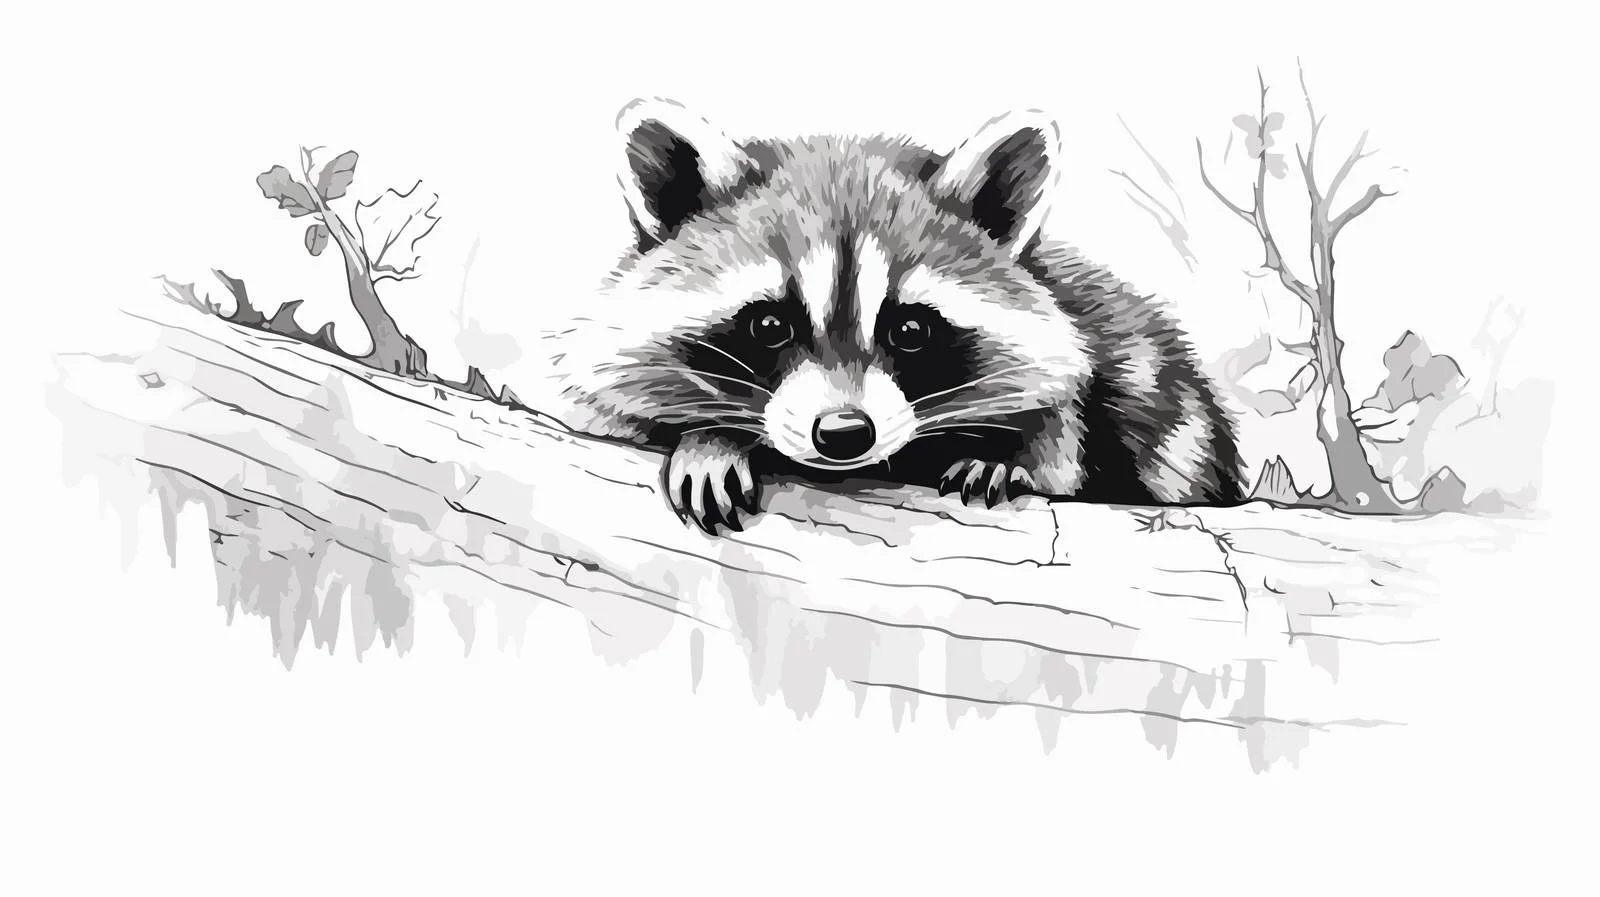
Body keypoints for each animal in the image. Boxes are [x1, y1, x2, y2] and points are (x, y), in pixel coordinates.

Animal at [543, 98, 1244, 534]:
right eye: (768, 326)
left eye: (910, 330)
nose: (844, 433)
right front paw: (710, 440)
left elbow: (1057, 445)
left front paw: (998, 455)